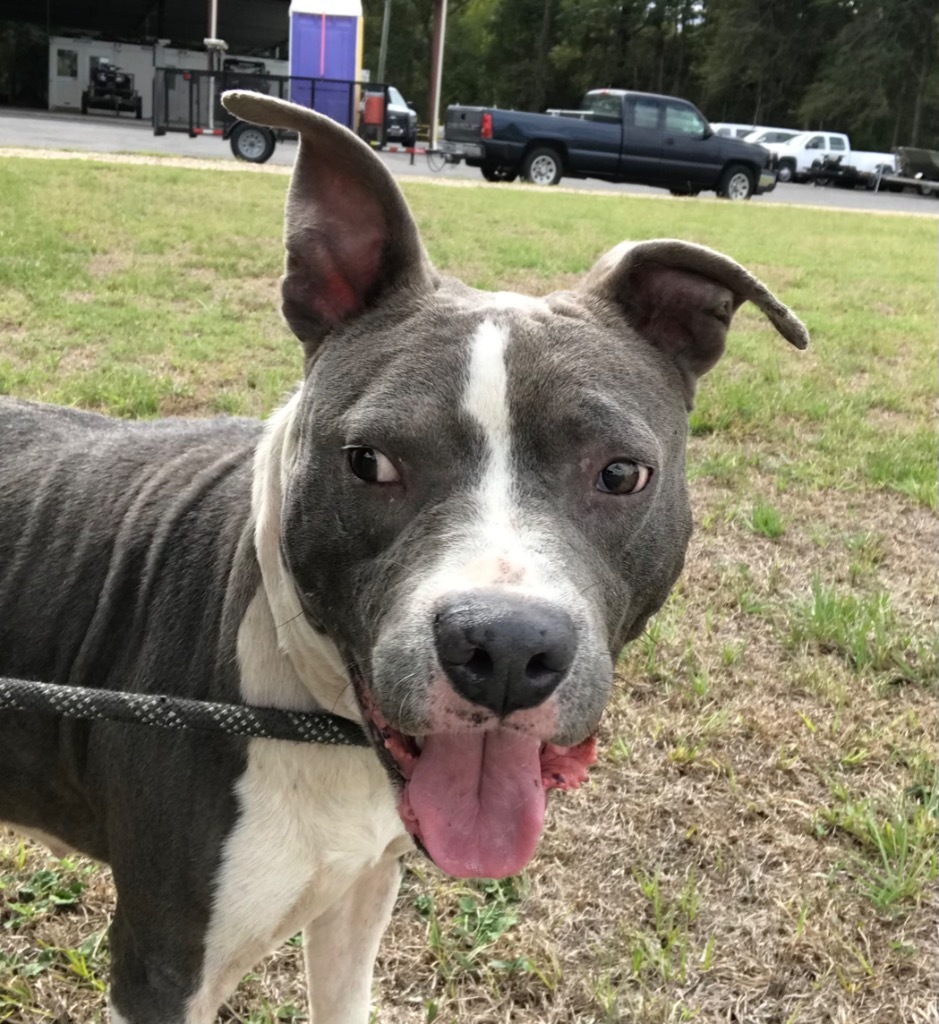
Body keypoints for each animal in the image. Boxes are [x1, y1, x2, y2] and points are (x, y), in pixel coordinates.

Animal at [0, 90, 806, 1024]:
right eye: (370, 462)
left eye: (619, 473)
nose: (506, 649)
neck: (318, 715)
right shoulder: (163, 967)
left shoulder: (362, 891)